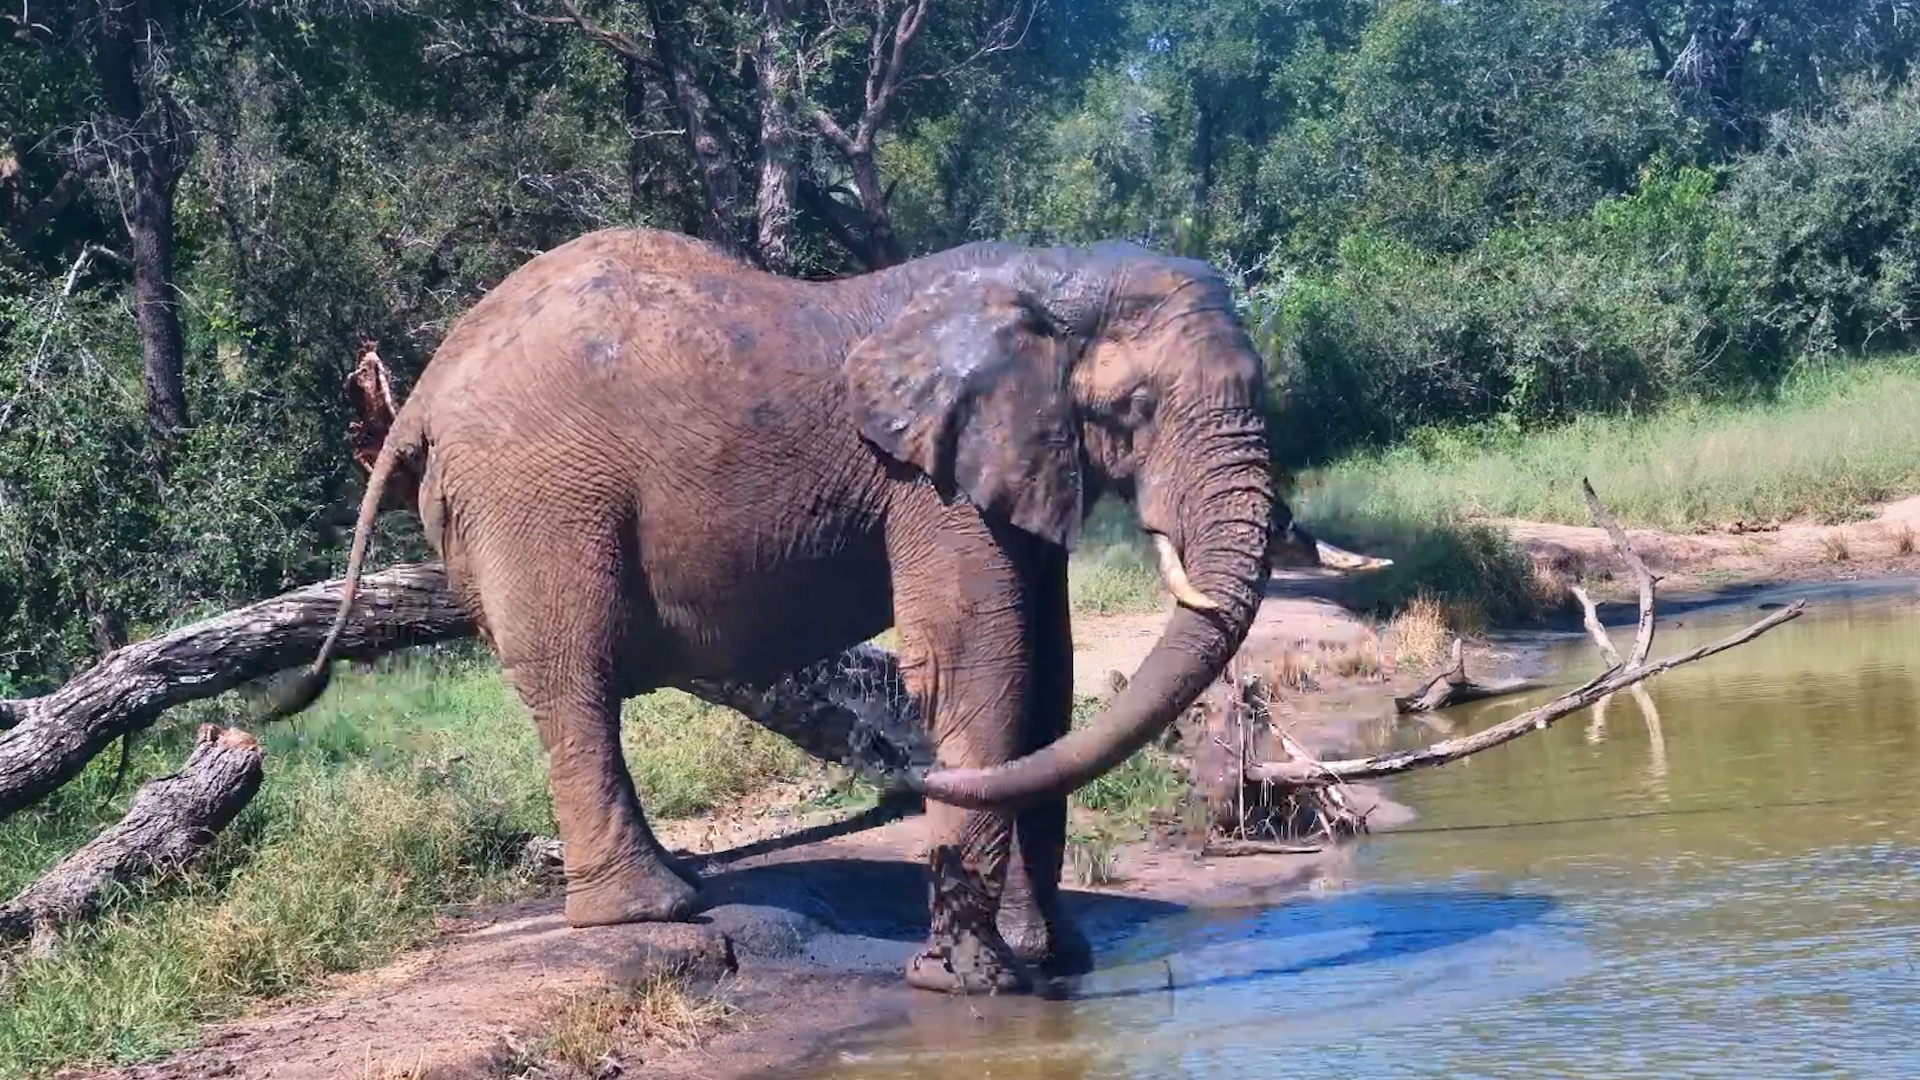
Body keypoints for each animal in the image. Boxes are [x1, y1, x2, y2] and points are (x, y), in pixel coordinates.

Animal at [273, 227, 1386, 994]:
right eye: (1135, 410)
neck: (1050, 272)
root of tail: (422, 390)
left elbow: (1052, 673)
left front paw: (1053, 961)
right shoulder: (928, 481)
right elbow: (980, 660)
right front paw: (972, 983)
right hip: (539, 500)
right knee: (573, 681)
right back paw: (653, 909)